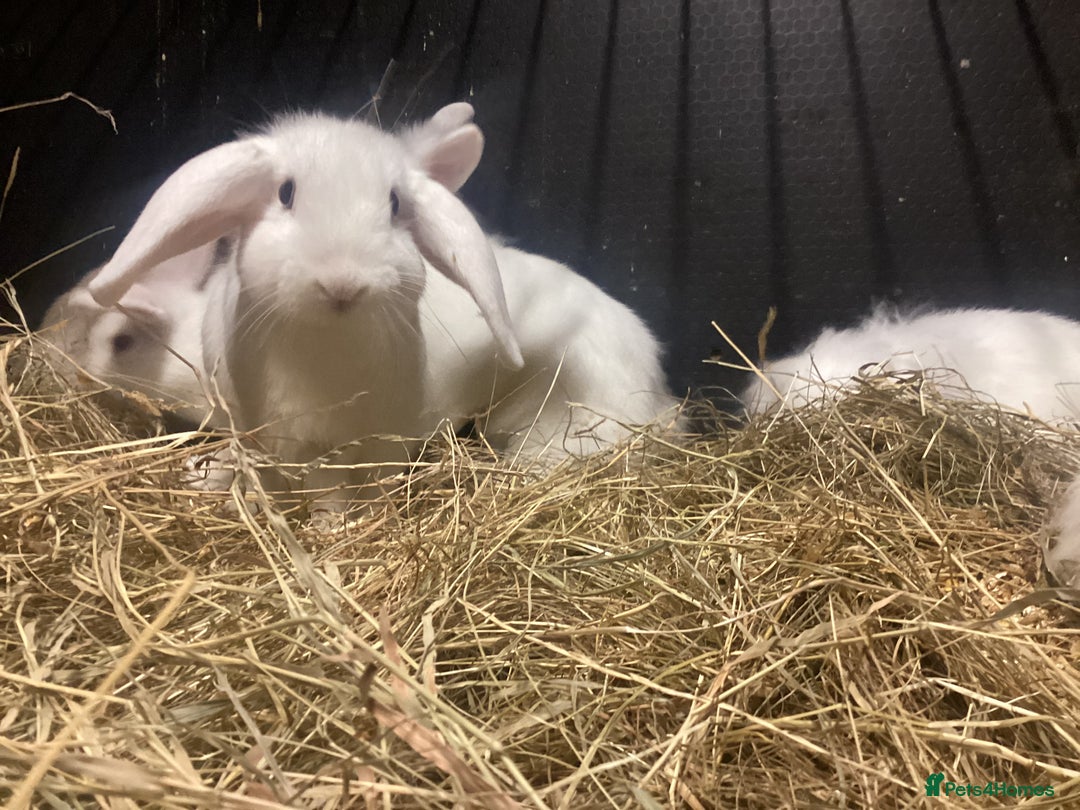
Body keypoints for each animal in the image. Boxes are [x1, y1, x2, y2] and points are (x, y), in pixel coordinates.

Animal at [85, 103, 525, 512]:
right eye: (286, 193)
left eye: (395, 204)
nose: (343, 284)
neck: (328, 342)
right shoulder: (288, 441)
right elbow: (310, 488)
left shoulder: (374, 441)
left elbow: (360, 488)